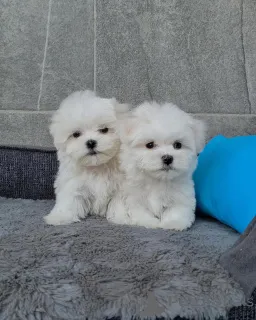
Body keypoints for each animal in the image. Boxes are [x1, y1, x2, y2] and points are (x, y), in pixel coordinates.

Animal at [44, 90, 129, 225]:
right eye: (76, 134)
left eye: (104, 129)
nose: (91, 142)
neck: (97, 166)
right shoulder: (72, 183)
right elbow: (69, 199)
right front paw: (60, 217)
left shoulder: (121, 185)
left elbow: (119, 201)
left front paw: (121, 217)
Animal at [107, 102, 205, 230]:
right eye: (150, 145)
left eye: (178, 145)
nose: (167, 158)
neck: (158, 180)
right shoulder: (135, 196)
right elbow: (140, 211)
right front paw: (149, 222)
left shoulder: (182, 195)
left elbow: (177, 210)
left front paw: (173, 223)